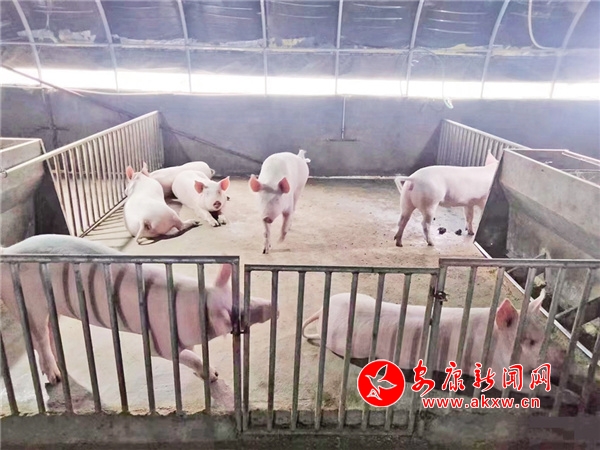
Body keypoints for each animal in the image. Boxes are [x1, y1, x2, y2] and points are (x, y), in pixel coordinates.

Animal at [0, 234, 273, 384]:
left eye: (242, 295)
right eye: (236, 314)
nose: (272, 308)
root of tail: (9, 251)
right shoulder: (159, 340)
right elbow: (181, 355)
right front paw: (214, 374)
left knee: (46, 331)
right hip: (28, 302)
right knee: (38, 336)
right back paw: (55, 378)